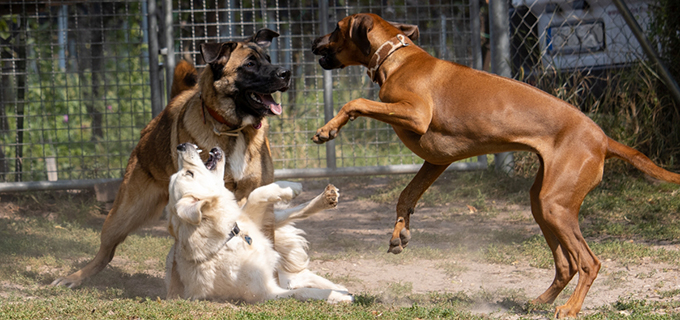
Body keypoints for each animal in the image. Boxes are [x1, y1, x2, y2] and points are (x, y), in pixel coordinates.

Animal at [50, 28, 290, 288]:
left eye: (268, 59)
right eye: (250, 64)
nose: (286, 73)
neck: (234, 130)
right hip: (123, 214)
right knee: (106, 252)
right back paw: (75, 278)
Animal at [165, 144, 350, 304]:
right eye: (190, 173)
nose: (181, 146)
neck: (231, 236)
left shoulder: (250, 217)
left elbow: (257, 193)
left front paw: (290, 186)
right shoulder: (266, 293)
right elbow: (302, 292)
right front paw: (338, 296)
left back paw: (325, 198)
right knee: (301, 278)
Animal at [312, 12, 680, 318]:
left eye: (336, 27)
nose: (313, 42)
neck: (396, 58)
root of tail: (603, 139)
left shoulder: (415, 115)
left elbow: (355, 101)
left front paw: (327, 129)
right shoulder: (436, 160)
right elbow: (406, 196)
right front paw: (400, 233)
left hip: (555, 205)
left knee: (589, 262)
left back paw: (570, 308)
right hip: (543, 203)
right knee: (567, 264)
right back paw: (540, 301)